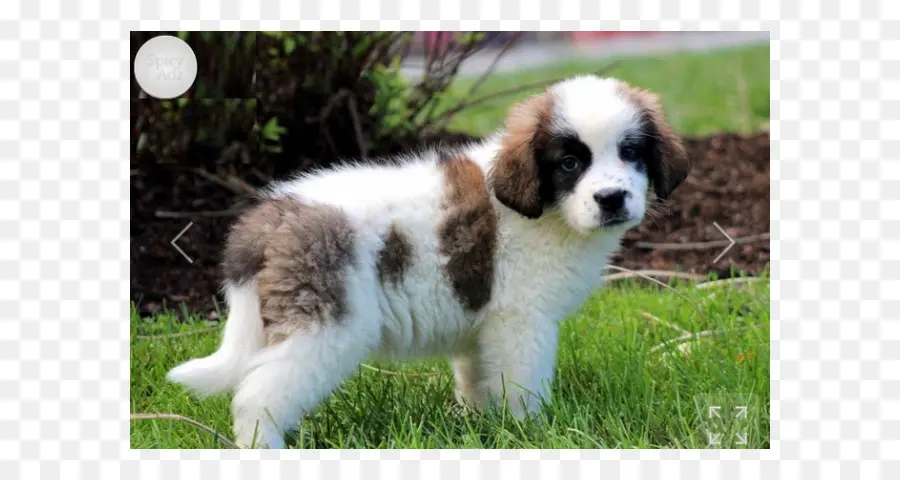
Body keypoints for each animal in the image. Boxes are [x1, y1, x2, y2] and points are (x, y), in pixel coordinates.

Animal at [167, 73, 688, 448]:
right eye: (569, 163)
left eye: (630, 152)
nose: (611, 198)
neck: (546, 211)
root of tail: (269, 218)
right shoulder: (522, 323)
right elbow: (524, 382)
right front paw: (534, 430)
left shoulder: (482, 327)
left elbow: (477, 378)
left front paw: (482, 424)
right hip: (326, 329)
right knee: (258, 395)